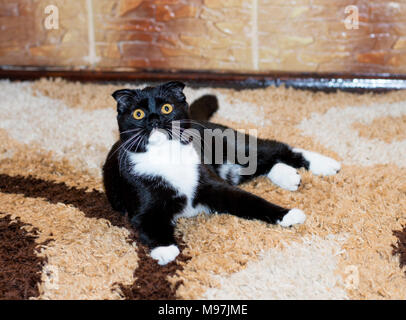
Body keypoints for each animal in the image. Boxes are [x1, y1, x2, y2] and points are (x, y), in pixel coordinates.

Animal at [102, 82, 340, 264]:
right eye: (138, 113)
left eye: (167, 108)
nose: (154, 120)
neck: (166, 156)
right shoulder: (140, 201)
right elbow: (148, 223)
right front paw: (166, 249)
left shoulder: (212, 183)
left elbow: (250, 200)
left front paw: (288, 214)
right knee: (262, 165)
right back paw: (289, 176)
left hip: (234, 145)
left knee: (277, 149)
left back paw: (327, 164)